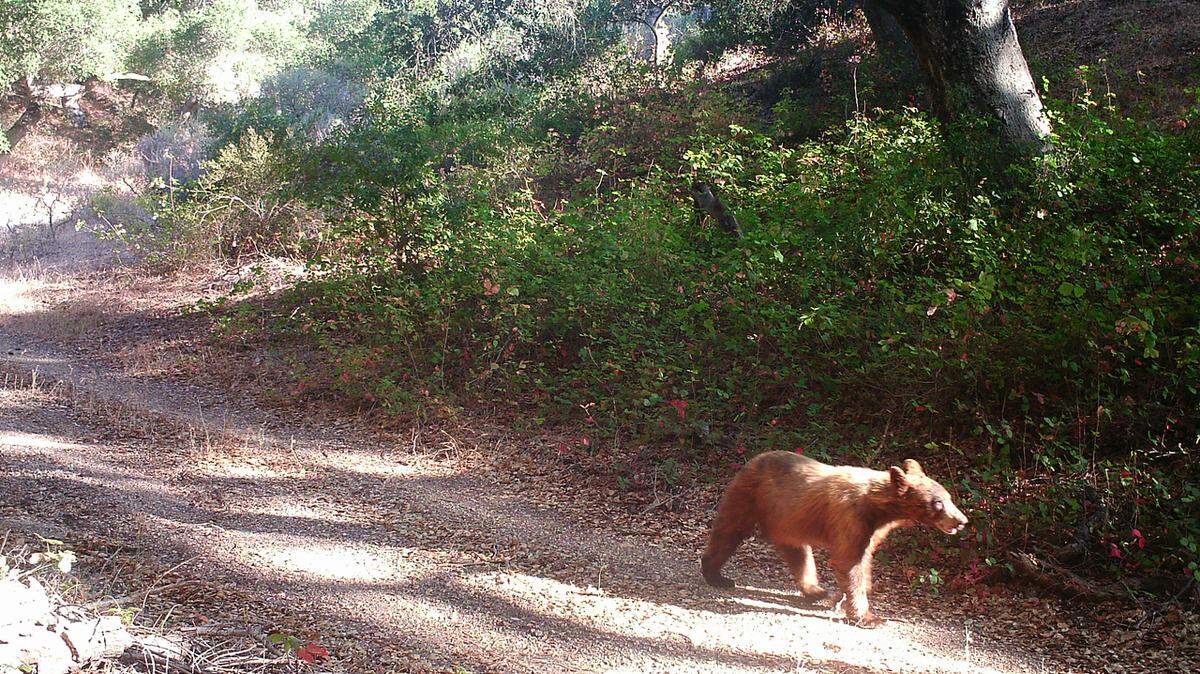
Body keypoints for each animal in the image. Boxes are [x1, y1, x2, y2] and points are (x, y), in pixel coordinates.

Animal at [700, 451, 968, 627]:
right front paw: (868, 616)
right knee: (729, 532)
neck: (877, 507)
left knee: (799, 553)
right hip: (749, 498)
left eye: (948, 497)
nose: (961, 521)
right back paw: (716, 575)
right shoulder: (851, 518)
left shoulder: (871, 530)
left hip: (788, 521)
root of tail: (753, 460)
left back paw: (817, 591)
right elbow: (850, 562)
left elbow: (863, 560)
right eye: (938, 502)